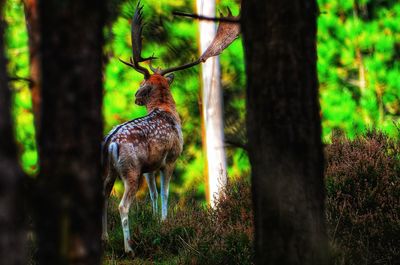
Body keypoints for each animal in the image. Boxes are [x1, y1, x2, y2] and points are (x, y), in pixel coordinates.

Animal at [101, 2, 239, 254]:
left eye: (142, 83)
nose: (135, 96)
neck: (167, 111)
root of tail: (111, 142)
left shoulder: (150, 166)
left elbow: (154, 194)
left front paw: (155, 220)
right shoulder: (171, 157)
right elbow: (165, 193)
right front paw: (165, 221)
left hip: (112, 171)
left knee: (104, 196)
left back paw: (105, 238)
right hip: (130, 170)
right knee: (123, 206)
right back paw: (129, 247)